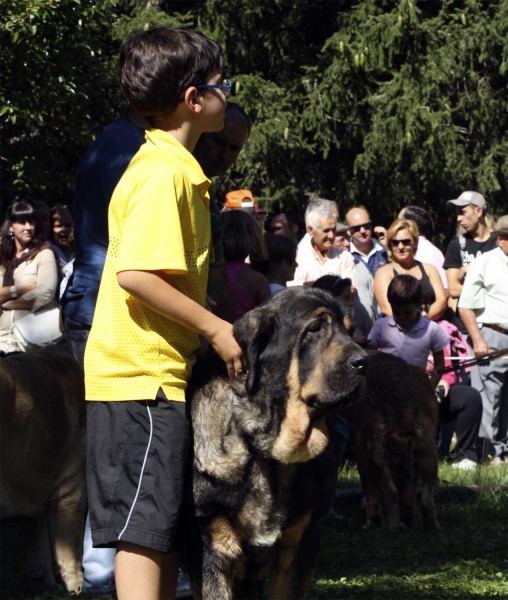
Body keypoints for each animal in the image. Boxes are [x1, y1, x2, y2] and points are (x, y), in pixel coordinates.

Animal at [185, 288, 368, 596]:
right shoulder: (212, 549)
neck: (266, 450)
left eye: (349, 330)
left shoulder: (300, 543)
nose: (365, 362)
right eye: (315, 328)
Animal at [346, 352, 440, 528]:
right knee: (427, 498)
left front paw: (372, 523)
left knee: (391, 493)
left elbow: (371, 495)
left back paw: (389, 528)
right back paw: (431, 527)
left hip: (374, 452)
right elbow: (408, 496)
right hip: (428, 450)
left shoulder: (361, 453)